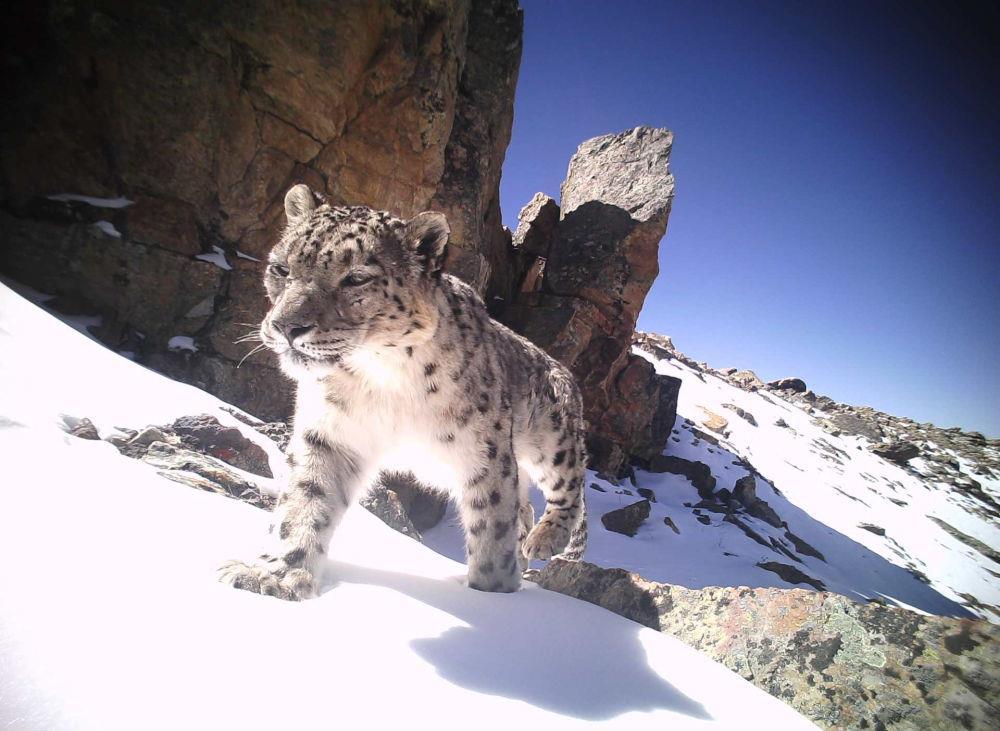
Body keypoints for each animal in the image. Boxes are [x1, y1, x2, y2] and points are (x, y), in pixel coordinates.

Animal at [219, 184, 584, 600]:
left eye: (356, 278)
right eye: (281, 268)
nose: (286, 326)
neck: (381, 377)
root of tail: (563, 370)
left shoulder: (484, 455)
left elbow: (492, 527)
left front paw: (491, 594)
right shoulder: (330, 435)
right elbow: (305, 499)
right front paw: (275, 575)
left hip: (550, 440)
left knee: (569, 486)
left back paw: (543, 540)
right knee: (524, 504)